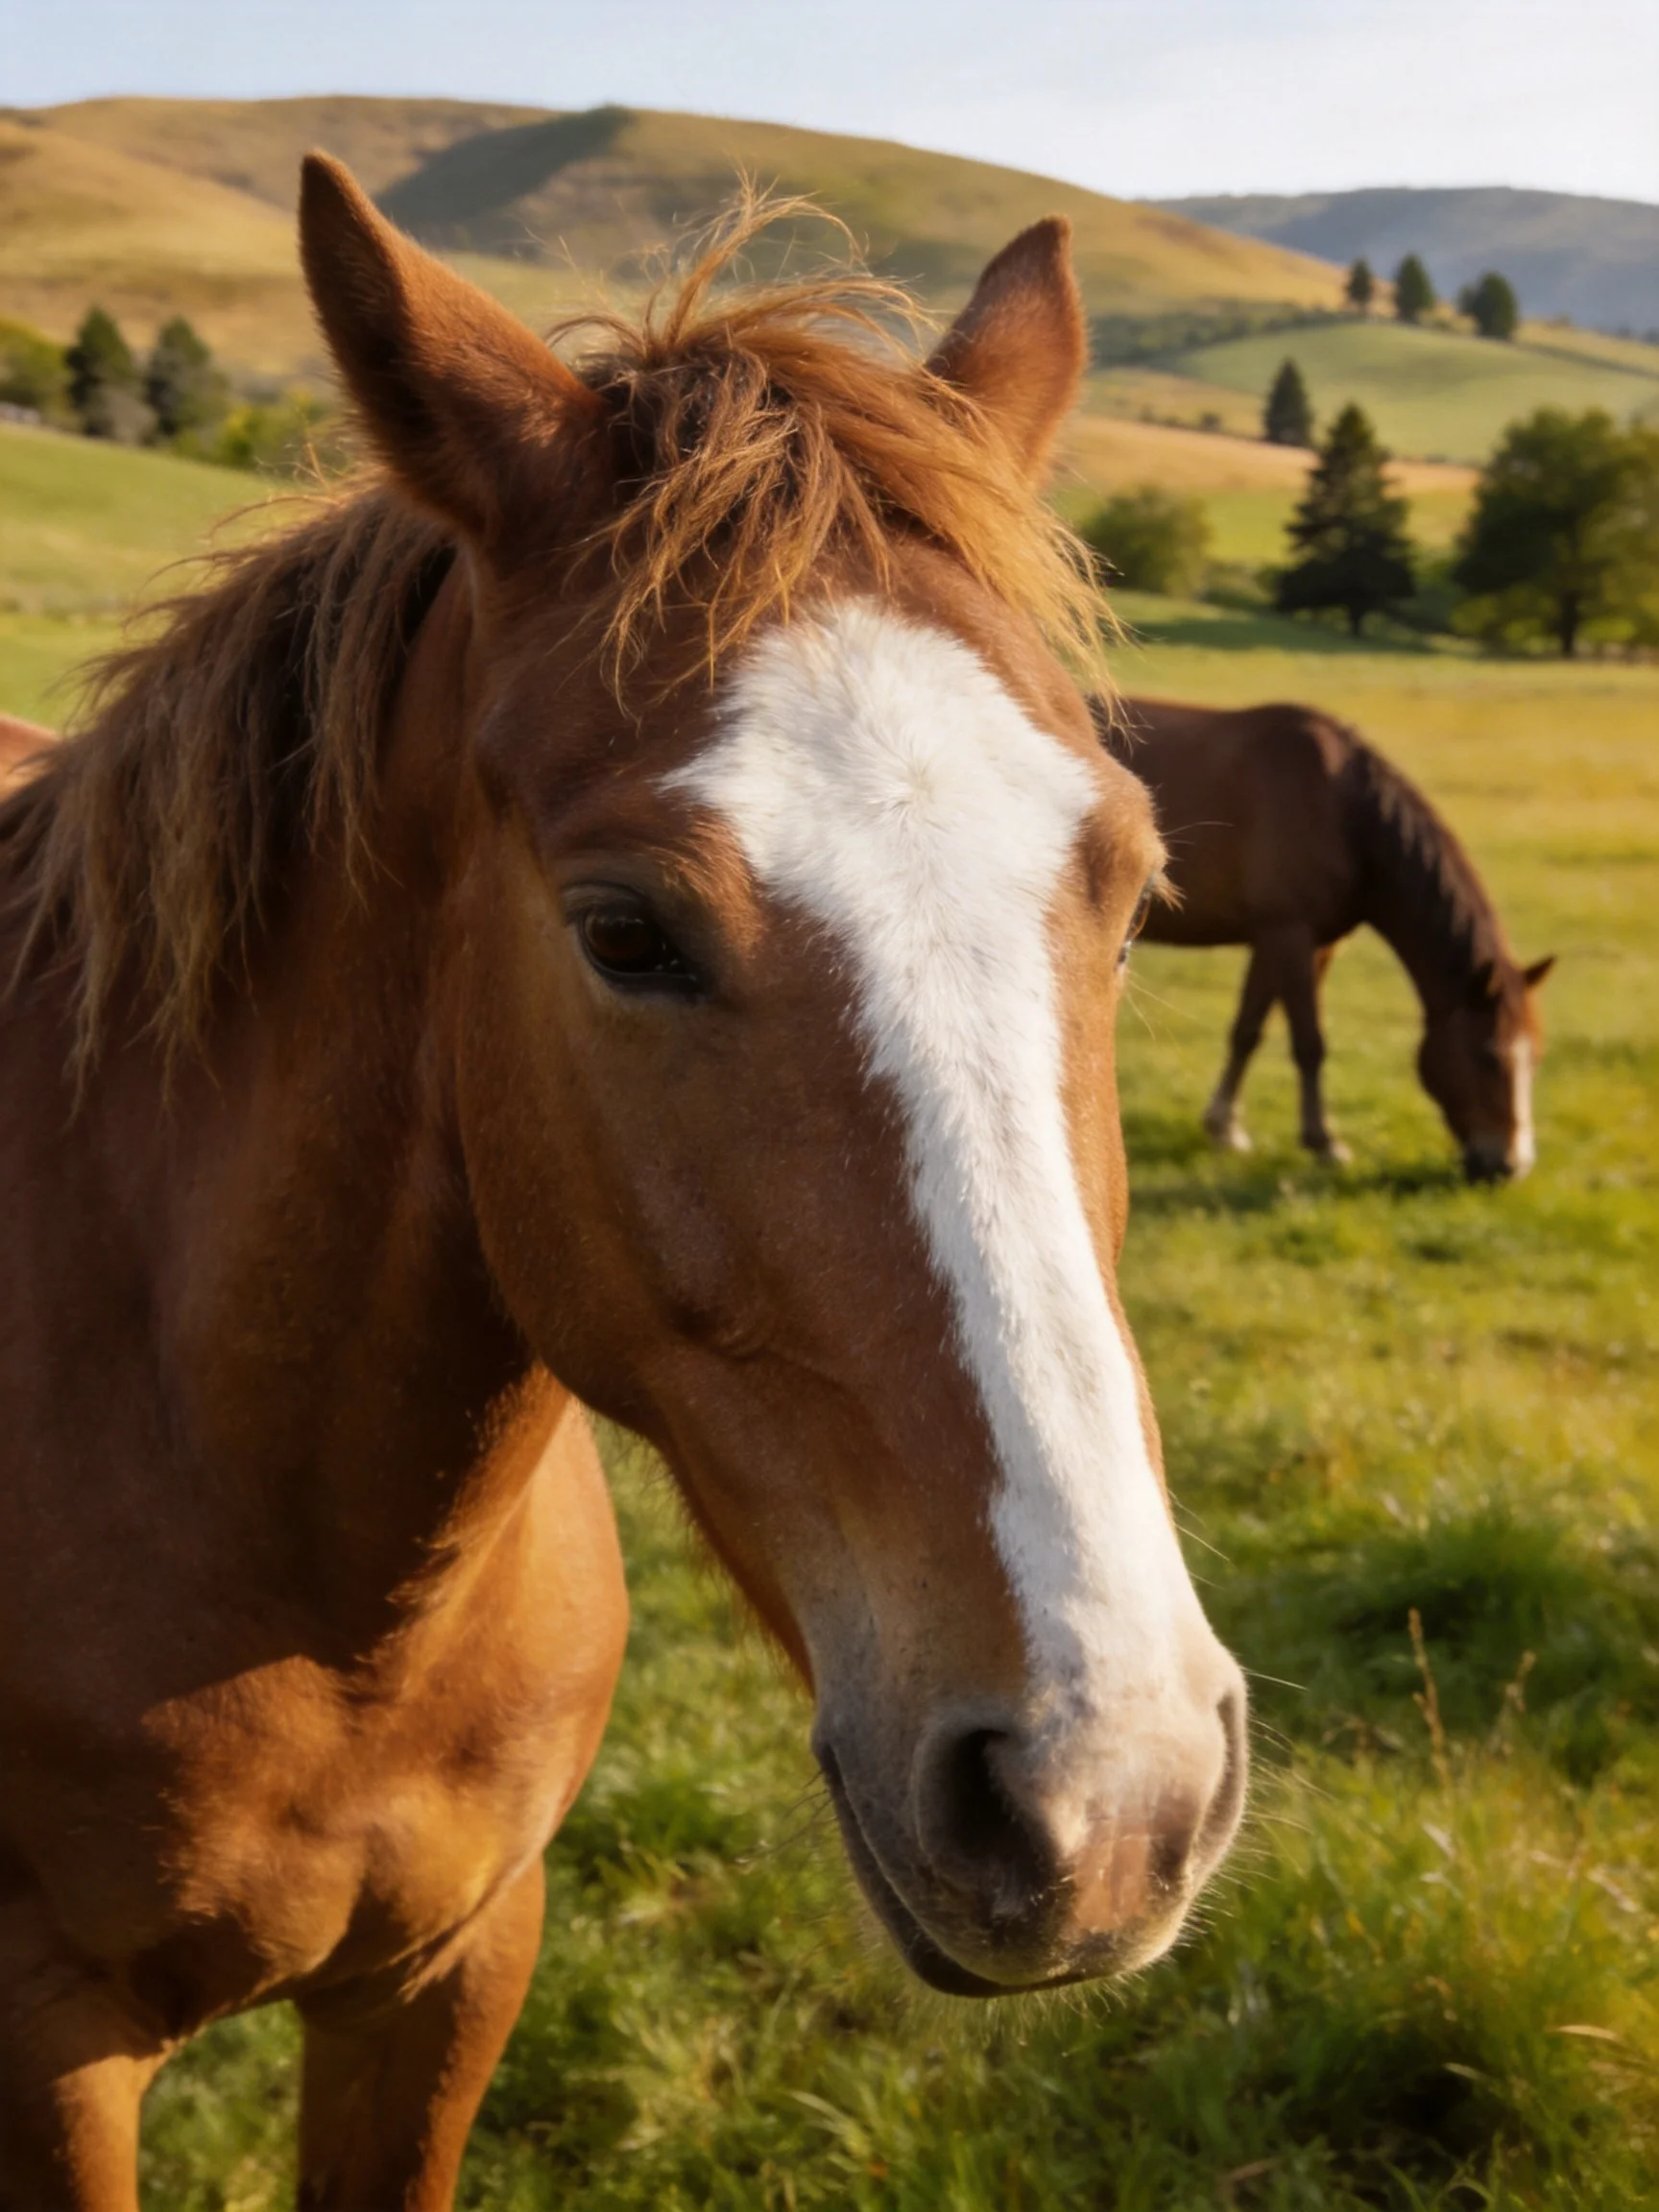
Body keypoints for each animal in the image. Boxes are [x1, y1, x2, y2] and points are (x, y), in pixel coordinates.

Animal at [1095, 696, 1554, 1182]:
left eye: (1537, 1058)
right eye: (1489, 1057)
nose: (1510, 1165)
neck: (1344, 811)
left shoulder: (1286, 941)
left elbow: (1248, 1031)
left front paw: (1225, 1126)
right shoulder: (1291, 934)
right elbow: (1309, 1043)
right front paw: (1323, 1142)